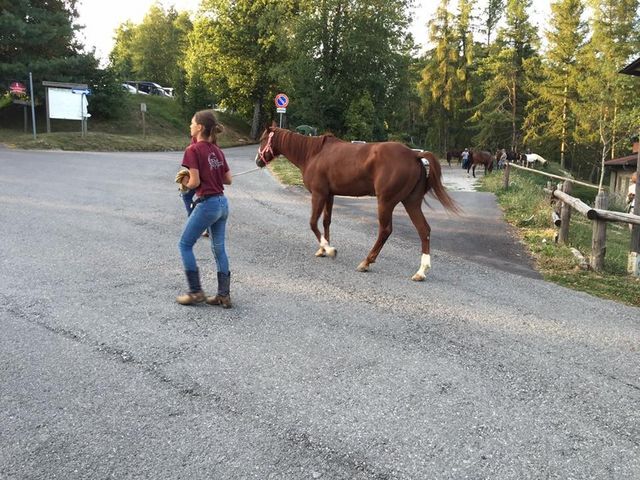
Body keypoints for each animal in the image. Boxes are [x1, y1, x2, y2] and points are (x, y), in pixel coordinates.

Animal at [255, 126, 460, 282]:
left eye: (263, 139)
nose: (258, 161)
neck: (314, 154)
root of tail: (414, 155)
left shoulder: (318, 195)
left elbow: (313, 223)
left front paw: (329, 250)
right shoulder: (329, 195)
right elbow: (326, 222)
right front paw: (323, 249)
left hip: (386, 201)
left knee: (385, 230)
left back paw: (366, 262)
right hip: (411, 202)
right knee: (424, 230)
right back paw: (421, 271)